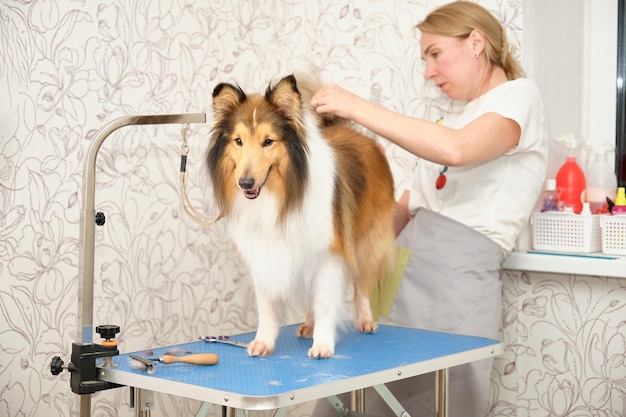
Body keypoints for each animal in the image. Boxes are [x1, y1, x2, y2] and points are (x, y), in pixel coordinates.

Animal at [205, 75, 392, 358]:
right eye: (238, 141)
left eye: (268, 141)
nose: (245, 183)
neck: (280, 196)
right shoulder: (264, 253)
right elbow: (268, 306)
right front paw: (263, 342)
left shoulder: (329, 255)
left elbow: (325, 302)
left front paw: (323, 345)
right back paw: (307, 326)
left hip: (367, 241)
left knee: (361, 285)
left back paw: (365, 321)